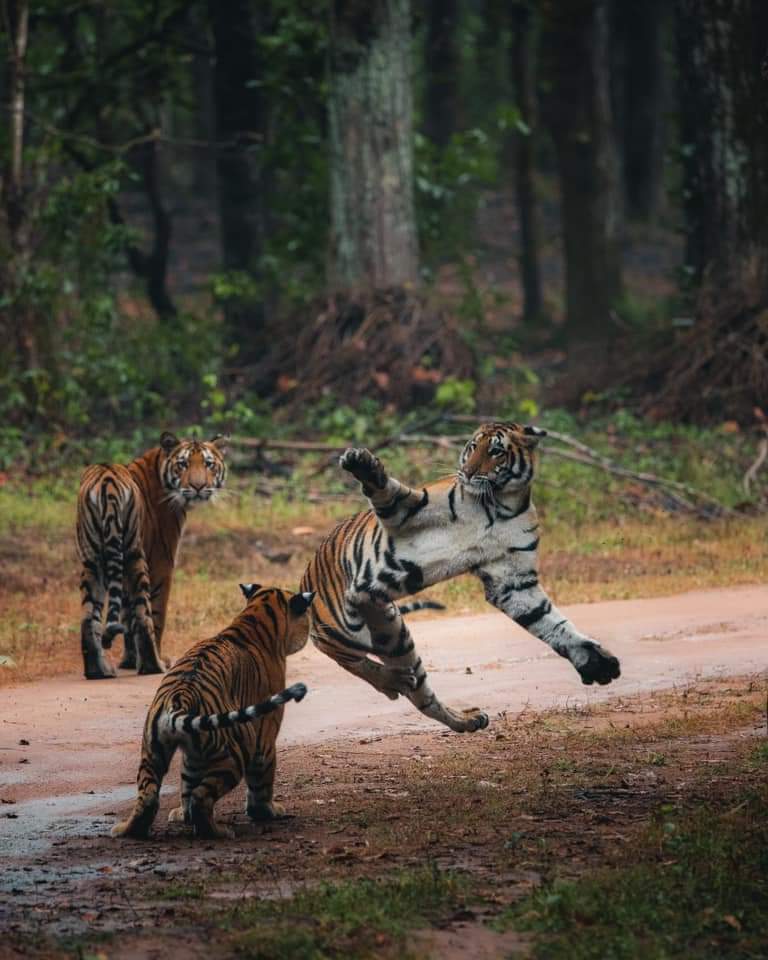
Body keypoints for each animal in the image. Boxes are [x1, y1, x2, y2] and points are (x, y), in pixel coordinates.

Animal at [76, 432, 226, 680]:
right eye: (183, 464)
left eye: (208, 463)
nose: (198, 486)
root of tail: (107, 480)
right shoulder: (161, 561)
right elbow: (155, 614)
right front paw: (145, 660)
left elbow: (125, 616)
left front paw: (128, 661)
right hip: (135, 555)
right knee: (144, 614)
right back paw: (154, 665)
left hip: (92, 560)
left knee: (89, 618)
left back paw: (98, 670)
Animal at [110, 580, 312, 836]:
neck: (256, 616)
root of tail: (180, 696)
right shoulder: (265, 736)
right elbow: (262, 781)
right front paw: (268, 811)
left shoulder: (192, 754)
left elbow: (187, 782)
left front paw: (181, 815)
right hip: (237, 748)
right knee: (201, 798)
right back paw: (219, 831)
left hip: (152, 750)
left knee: (148, 796)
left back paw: (127, 830)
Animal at [296, 422, 620, 736]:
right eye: (473, 447)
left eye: (496, 452)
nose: (469, 473)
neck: (498, 505)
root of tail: (304, 582)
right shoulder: (407, 511)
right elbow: (388, 490)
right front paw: (361, 463)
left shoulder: (512, 581)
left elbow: (551, 623)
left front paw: (594, 662)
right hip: (343, 630)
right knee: (353, 662)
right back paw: (393, 681)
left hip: (393, 633)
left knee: (421, 695)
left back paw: (461, 717)